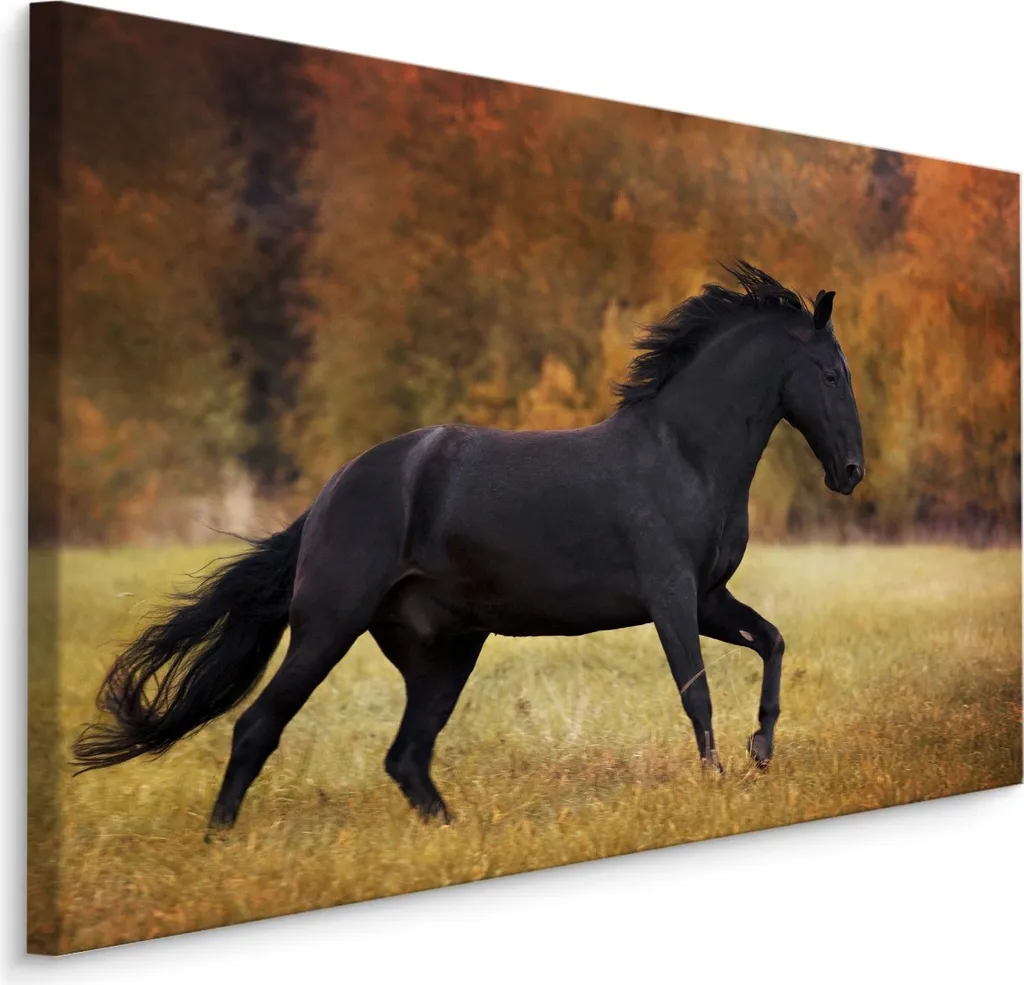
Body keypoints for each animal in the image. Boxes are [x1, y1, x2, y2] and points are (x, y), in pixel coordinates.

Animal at [71, 261, 865, 838]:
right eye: (831, 374)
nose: (852, 471)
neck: (685, 456)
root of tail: (330, 497)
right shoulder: (671, 595)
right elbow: (695, 691)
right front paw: (717, 783)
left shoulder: (708, 596)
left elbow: (772, 641)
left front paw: (761, 752)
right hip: (327, 628)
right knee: (257, 727)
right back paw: (221, 839)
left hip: (444, 651)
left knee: (406, 756)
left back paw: (456, 835)